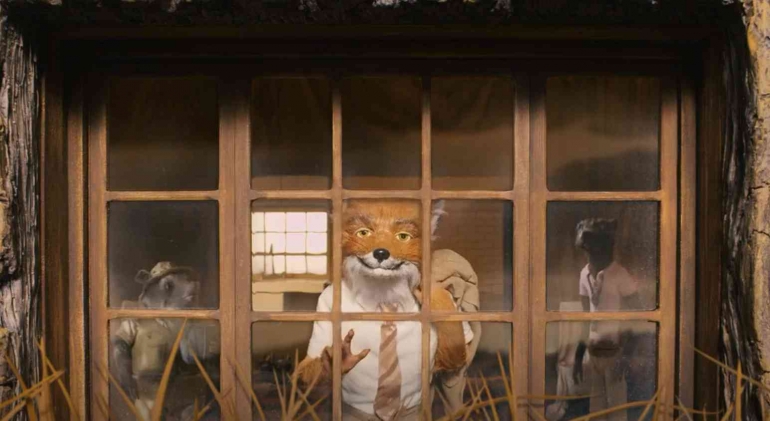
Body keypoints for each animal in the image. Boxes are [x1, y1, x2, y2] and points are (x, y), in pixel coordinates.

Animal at [294, 200, 470, 417]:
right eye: (363, 233)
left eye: (403, 236)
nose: (381, 253)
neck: (384, 300)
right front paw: (338, 360)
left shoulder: (446, 358)